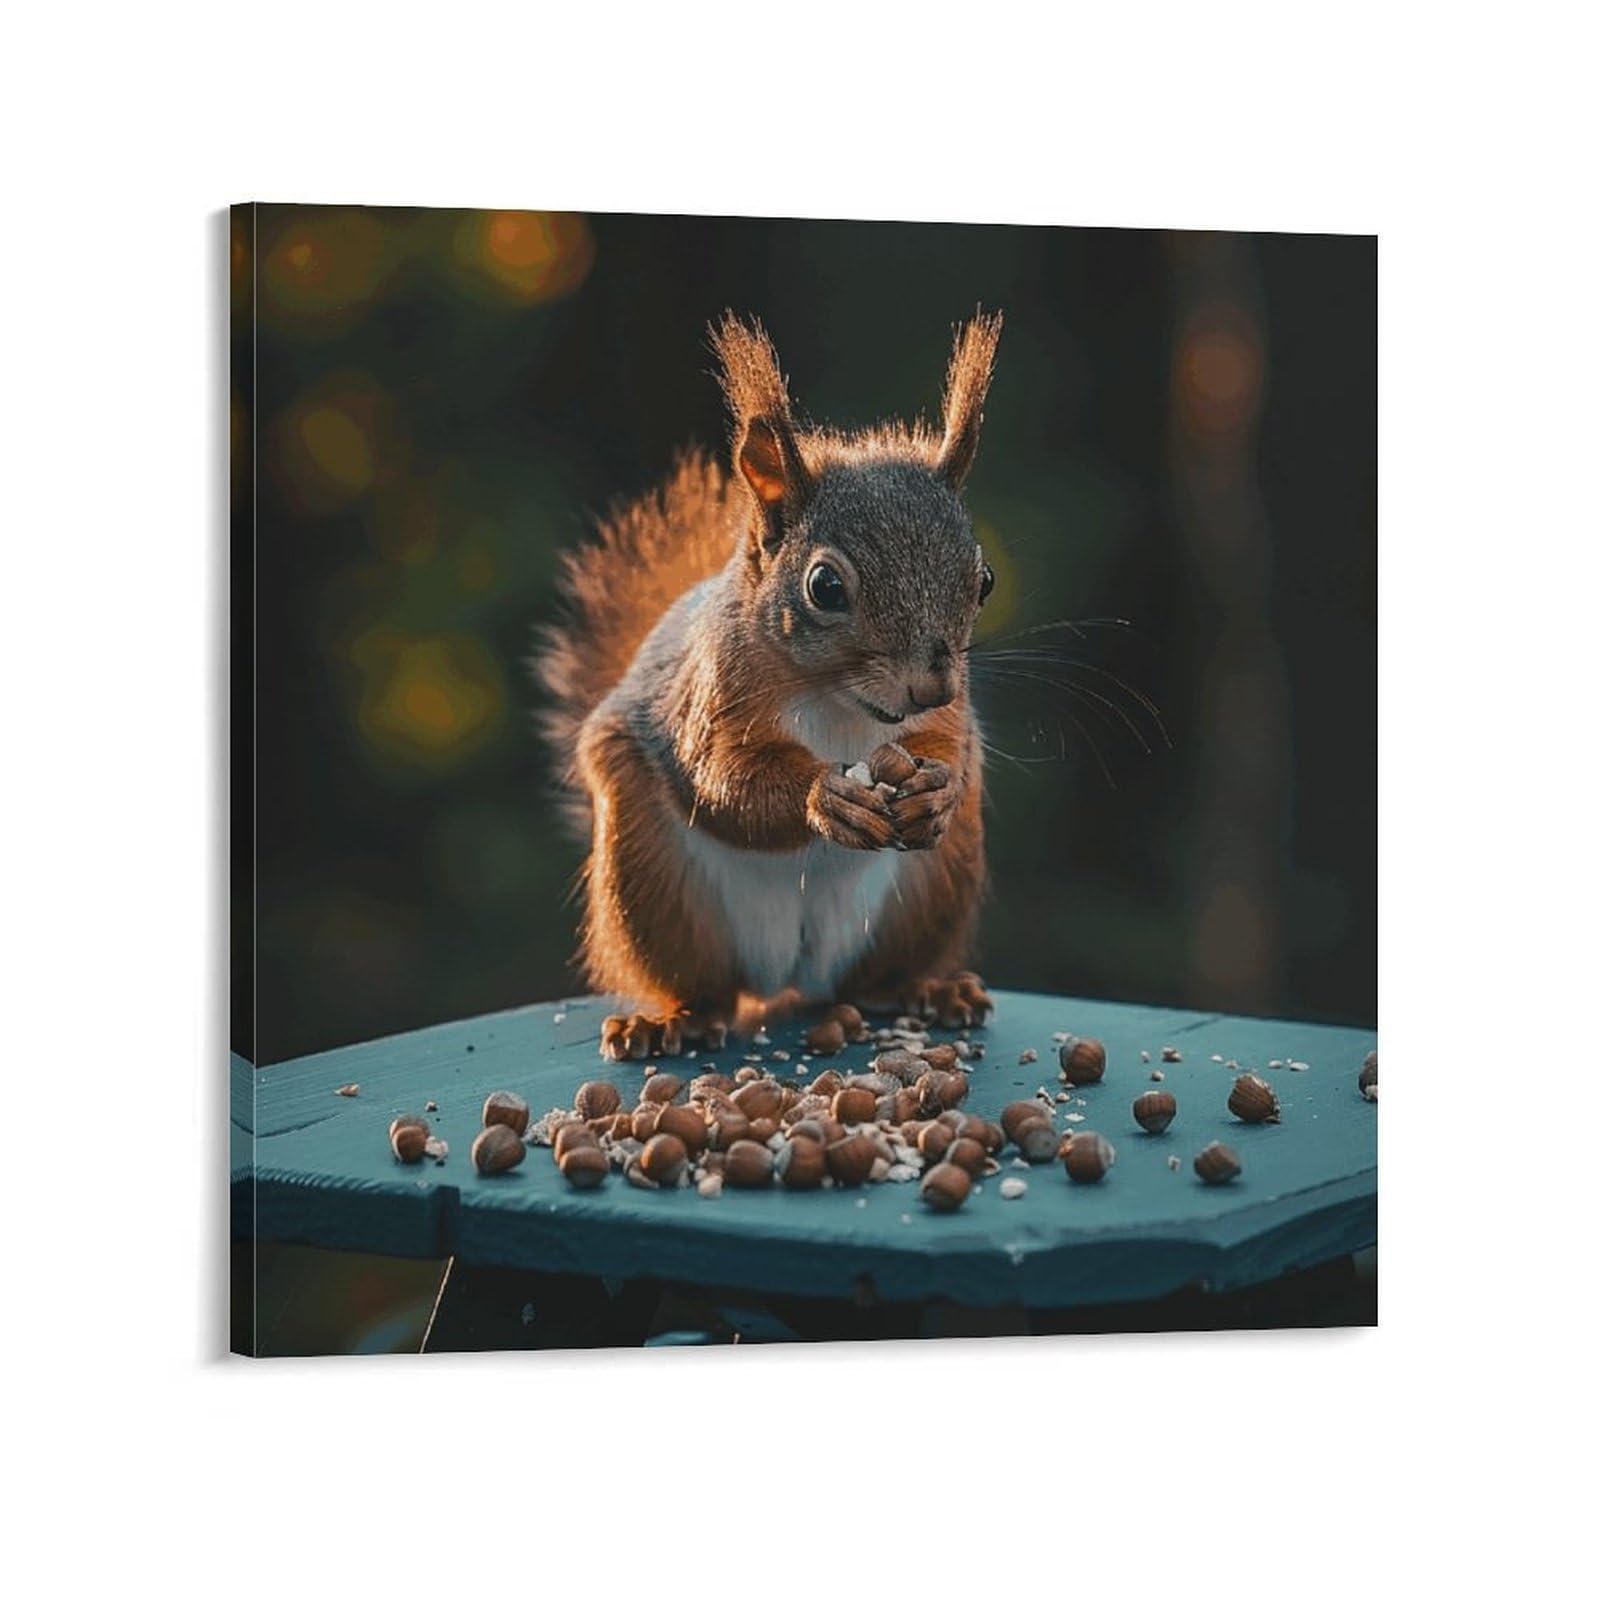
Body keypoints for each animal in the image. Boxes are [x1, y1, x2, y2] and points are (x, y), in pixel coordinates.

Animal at [536, 311, 1002, 1061]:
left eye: (982, 580)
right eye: (825, 586)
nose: (928, 686)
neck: (838, 700)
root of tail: (789, 977)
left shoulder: (947, 716)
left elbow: (945, 745)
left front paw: (936, 788)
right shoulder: (711, 693)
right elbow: (724, 779)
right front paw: (824, 797)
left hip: (933, 889)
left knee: (877, 979)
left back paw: (928, 990)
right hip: (654, 885)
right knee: (704, 986)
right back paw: (671, 1020)